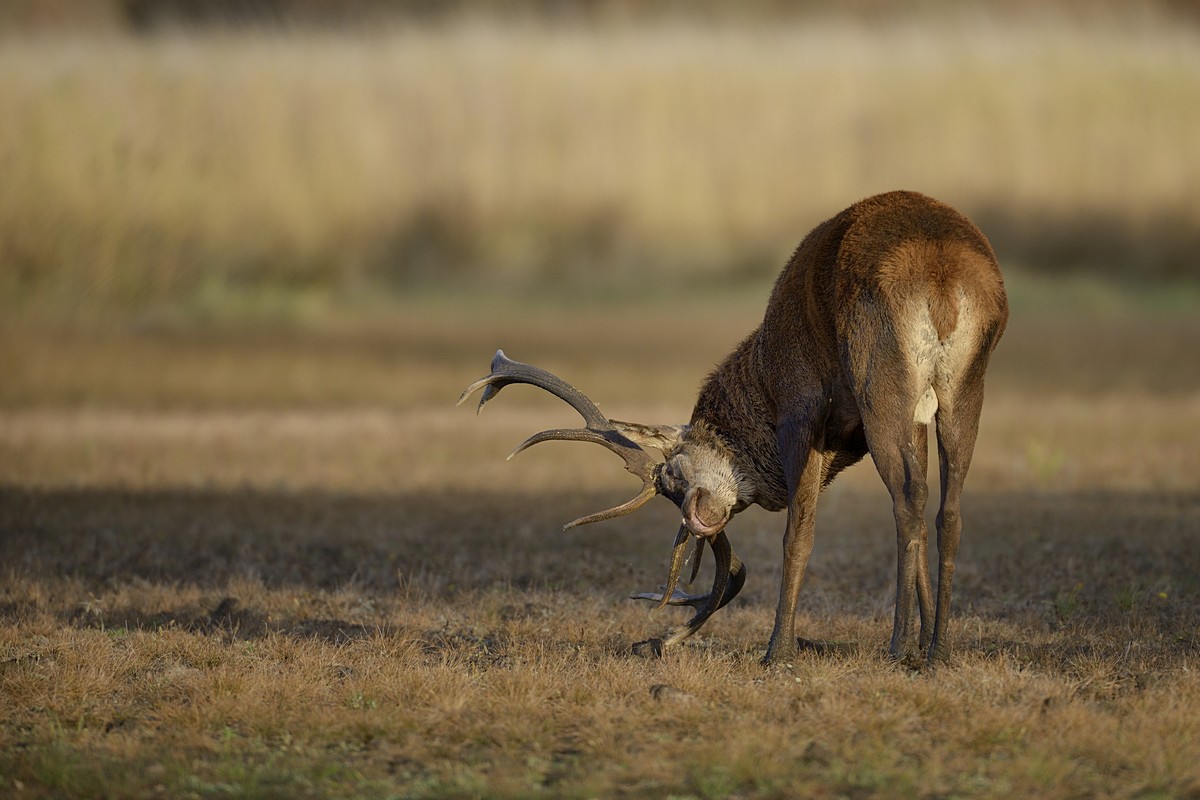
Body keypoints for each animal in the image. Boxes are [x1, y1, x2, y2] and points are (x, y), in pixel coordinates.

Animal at [456, 190, 1003, 666]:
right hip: (964, 386)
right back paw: (938, 649)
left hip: (880, 380)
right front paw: (927, 637)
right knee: (946, 507)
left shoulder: (800, 409)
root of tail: (943, 279)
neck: (759, 382)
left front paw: (777, 650)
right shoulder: (905, 419)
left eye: (672, 476)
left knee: (908, 501)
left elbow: (797, 533)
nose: (699, 519)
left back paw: (898, 647)